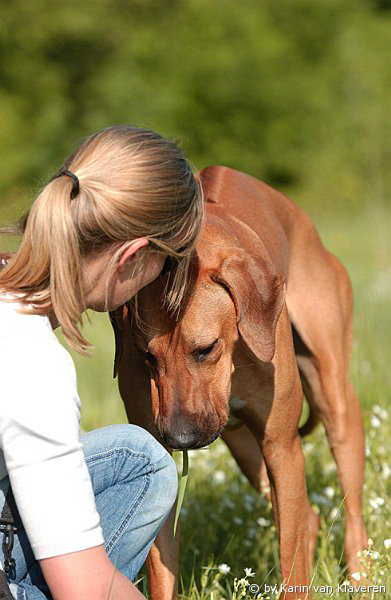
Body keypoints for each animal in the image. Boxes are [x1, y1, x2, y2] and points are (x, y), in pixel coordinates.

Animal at [109, 165, 368, 600]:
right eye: (149, 357)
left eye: (205, 348)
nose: (179, 437)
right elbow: (162, 565)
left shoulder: (282, 445)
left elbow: (291, 562)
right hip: (246, 450)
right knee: (309, 518)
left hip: (335, 399)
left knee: (350, 517)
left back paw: (362, 574)